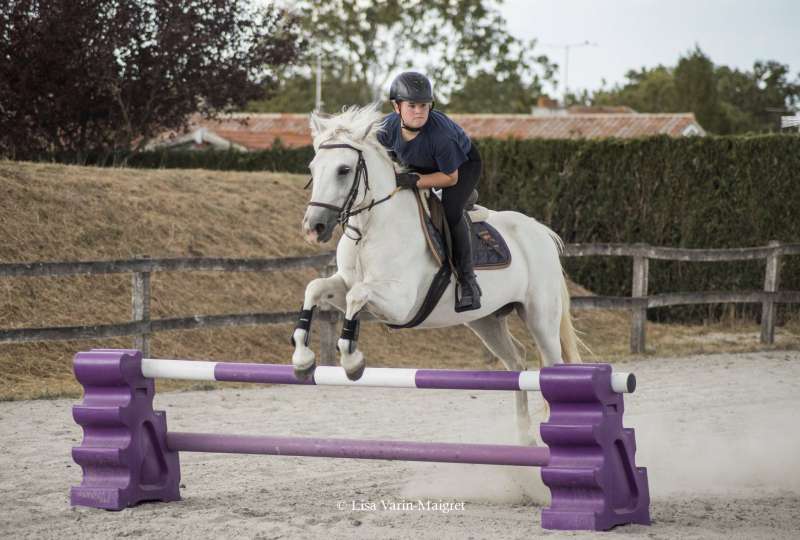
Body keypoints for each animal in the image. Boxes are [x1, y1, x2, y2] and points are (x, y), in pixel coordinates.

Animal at [290, 104, 580, 442]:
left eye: (344, 170)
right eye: (313, 168)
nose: (314, 227)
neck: (371, 227)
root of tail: (541, 231)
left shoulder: (399, 303)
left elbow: (357, 296)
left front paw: (352, 362)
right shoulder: (344, 283)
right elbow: (315, 287)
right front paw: (302, 360)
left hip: (540, 317)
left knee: (552, 363)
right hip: (486, 321)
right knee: (516, 359)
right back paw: (524, 437)